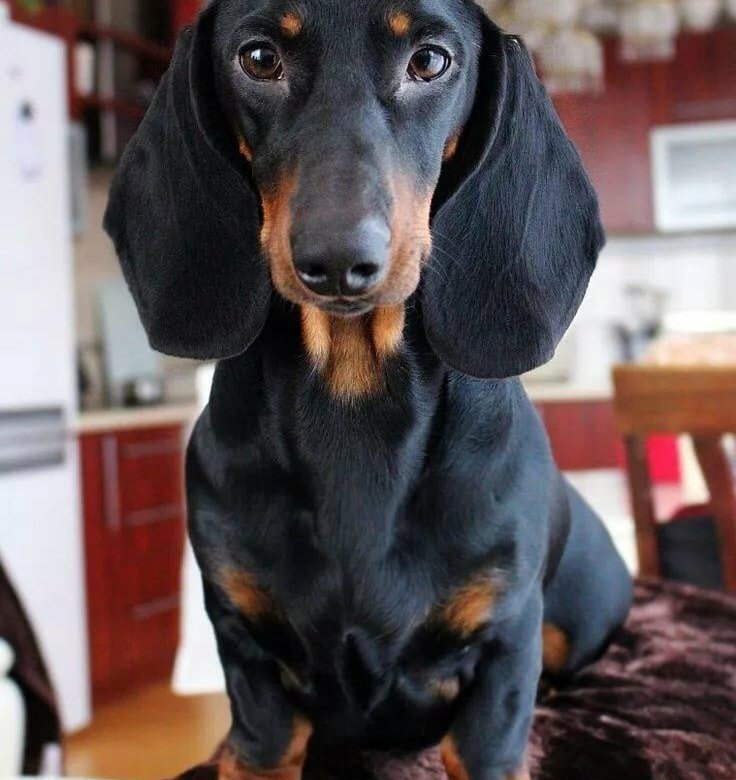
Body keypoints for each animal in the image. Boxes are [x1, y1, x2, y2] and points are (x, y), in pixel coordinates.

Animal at [104, 1, 633, 778]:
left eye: (431, 61)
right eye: (258, 58)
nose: (338, 259)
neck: (353, 403)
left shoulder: (503, 657)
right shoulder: (248, 668)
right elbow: (260, 738)